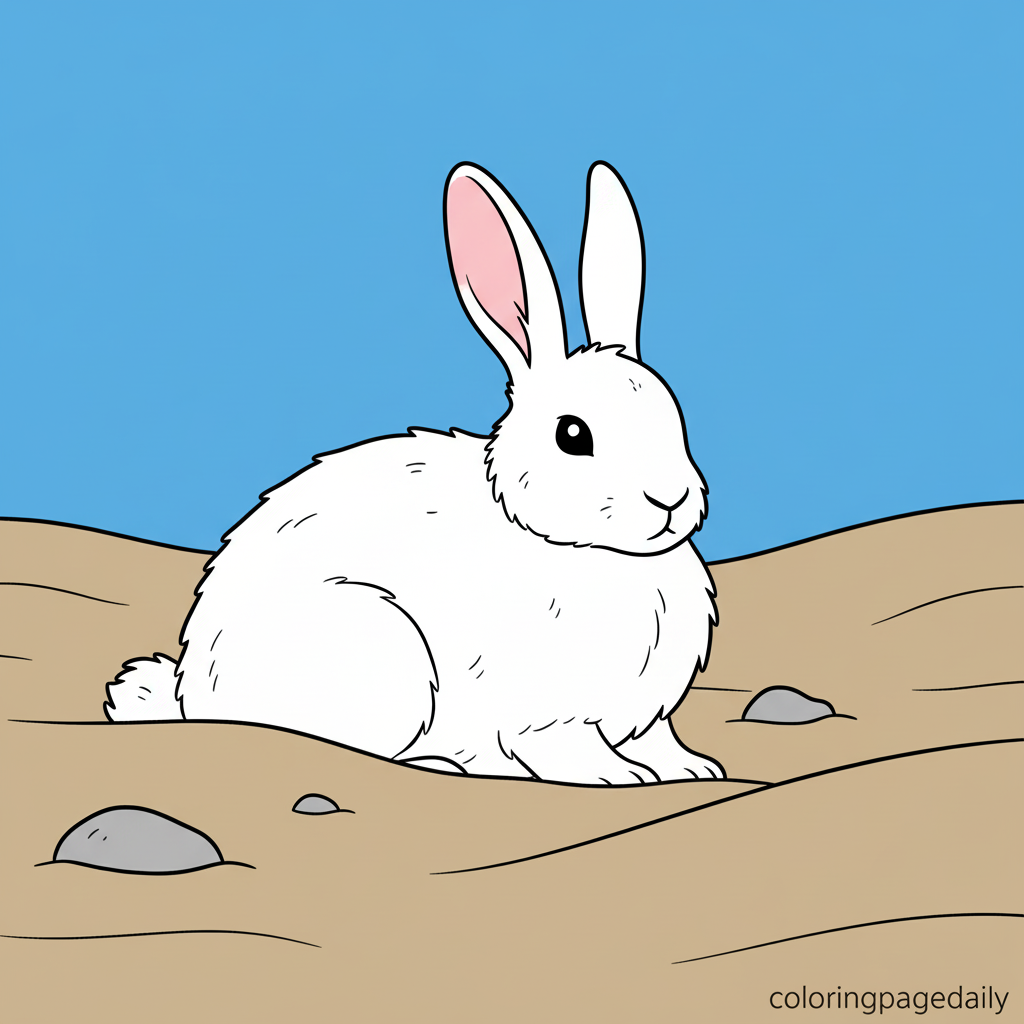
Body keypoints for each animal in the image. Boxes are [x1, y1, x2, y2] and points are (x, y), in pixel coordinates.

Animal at [105, 161, 724, 785]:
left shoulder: (645, 716)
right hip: (378, 651)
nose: (671, 500)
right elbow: (567, 749)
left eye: (673, 414)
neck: (587, 553)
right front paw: (618, 776)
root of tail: (193, 699)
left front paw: (694, 769)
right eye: (573, 435)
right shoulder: (547, 716)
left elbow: (659, 741)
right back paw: (441, 762)